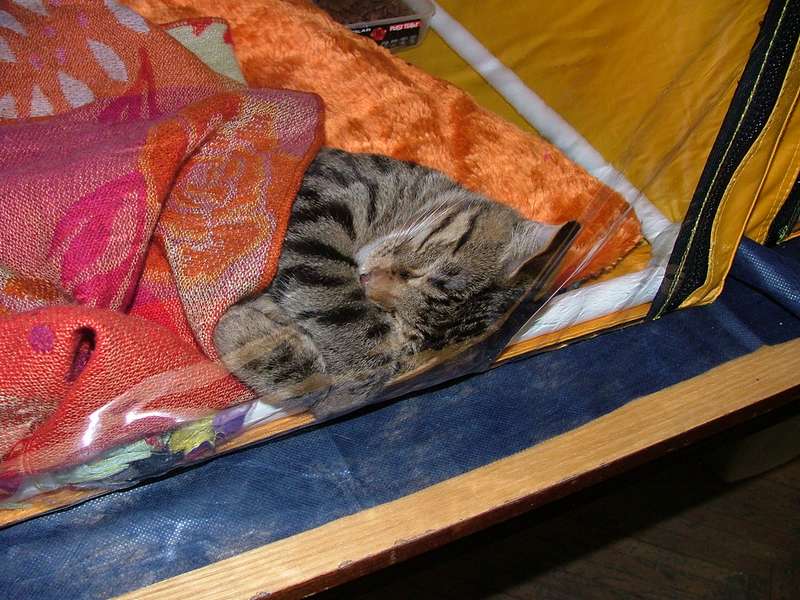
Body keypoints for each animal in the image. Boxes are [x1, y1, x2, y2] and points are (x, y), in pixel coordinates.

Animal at [213, 148, 575, 419]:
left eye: (400, 325)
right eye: (420, 273)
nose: (365, 281)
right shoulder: (316, 209)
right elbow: (342, 313)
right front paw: (344, 389)